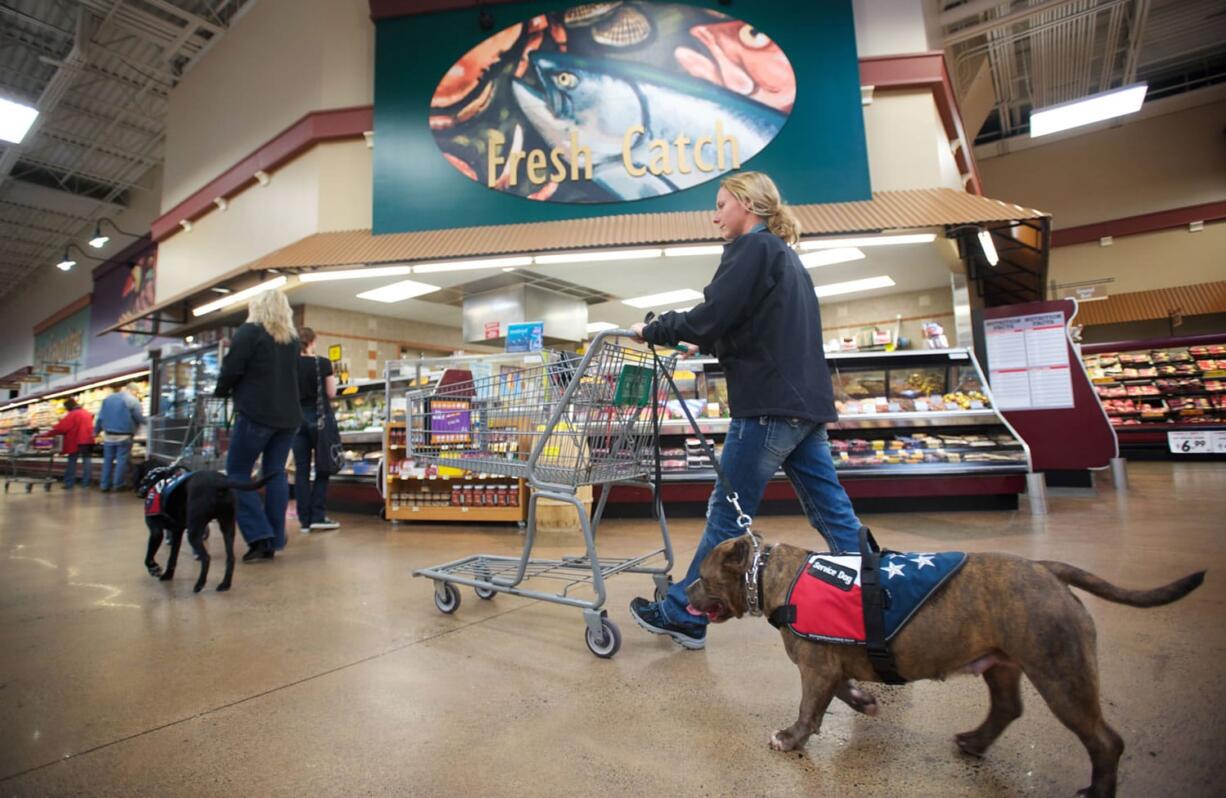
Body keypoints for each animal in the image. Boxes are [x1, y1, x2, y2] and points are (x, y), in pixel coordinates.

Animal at [143, 468, 278, 593]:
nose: (140, 490)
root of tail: (220, 482)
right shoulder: (177, 533)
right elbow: (172, 558)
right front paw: (167, 575)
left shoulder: (155, 530)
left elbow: (149, 557)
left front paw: (153, 568)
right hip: (227, 527)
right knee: (230, 558)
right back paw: (225, 584)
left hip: (193, 532)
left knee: (206, 558)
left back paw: (199, 584)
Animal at [691, 536, 1206, 798]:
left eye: (702, 577)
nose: (683, 592)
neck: (767, 573)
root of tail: (1046, 569)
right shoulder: (832, 663)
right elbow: (840, 692)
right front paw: (864, 700)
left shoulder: (816, 666)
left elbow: (809, 708)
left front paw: (791, 738)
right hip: (1004, 663)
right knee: (1008, 707)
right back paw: (975, 742)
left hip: (1061, 674)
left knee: (1104, 741)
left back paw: (1098, 792)